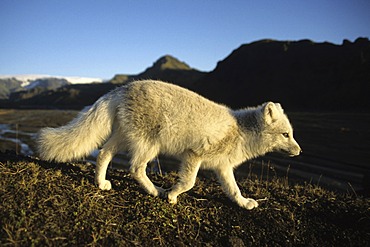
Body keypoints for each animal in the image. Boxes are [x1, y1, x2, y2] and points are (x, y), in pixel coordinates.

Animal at [38, 80, 300, 209]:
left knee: (103, 154)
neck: (240, 131)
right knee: (135, 169)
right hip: (149, 145)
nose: (299, 151)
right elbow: (189, 182)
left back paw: (101, 183)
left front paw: (244, 204)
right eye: (286, 134)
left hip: (123, 138)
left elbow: (234, 190)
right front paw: (172, 196)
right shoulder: (194, 155)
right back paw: (156, 191)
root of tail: (122, 88)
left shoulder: (222, 167)